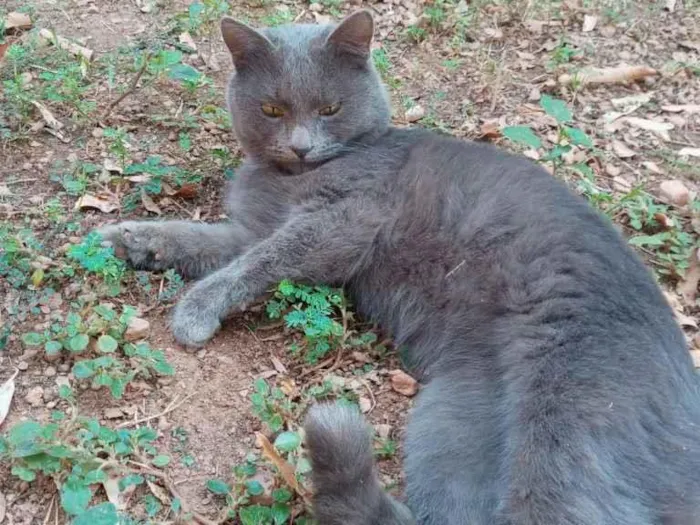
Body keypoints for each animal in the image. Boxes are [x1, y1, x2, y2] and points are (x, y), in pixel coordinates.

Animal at [97, 9, 700, 524]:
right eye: (272, 110)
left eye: (330, 110)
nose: (300, 146)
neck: (288, 180)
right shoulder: (249, 229)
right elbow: (200, 240)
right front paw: (126, 238)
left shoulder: (343, 222)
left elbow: (258, 262)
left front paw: (194, 310)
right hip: (453, 422)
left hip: (569, 420)